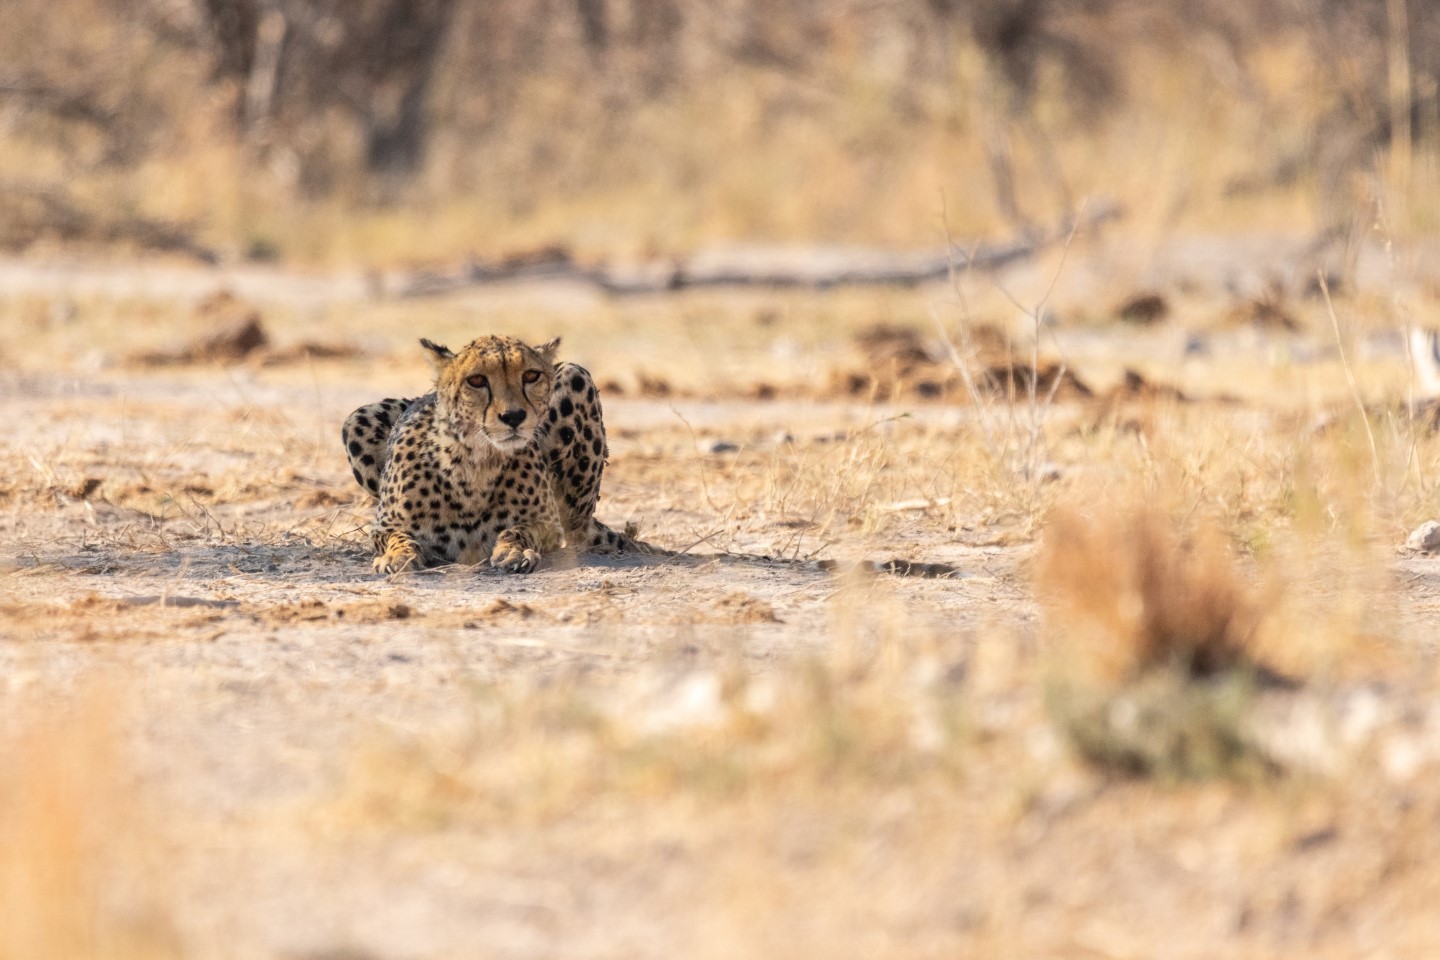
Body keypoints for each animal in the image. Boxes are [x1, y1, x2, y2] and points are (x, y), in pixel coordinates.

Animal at [344, 336, 961, 578]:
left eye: (530, 376)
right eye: (477, 381)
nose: (516, 417)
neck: (475, 461)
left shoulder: (541, 517)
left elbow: (523, 529)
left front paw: (513, 551)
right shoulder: (387, 521)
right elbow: (395, 539)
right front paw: (397, 559)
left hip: (577, 379)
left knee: (576, 529)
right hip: (359, 416)